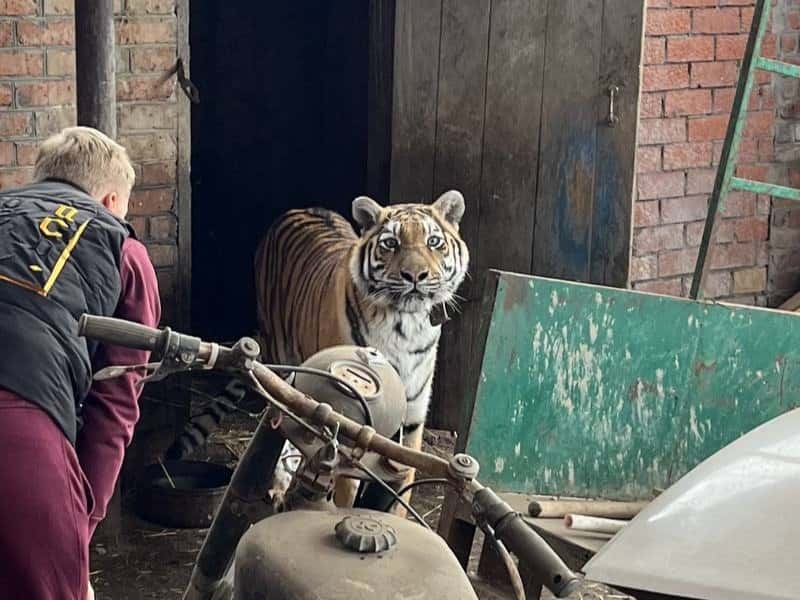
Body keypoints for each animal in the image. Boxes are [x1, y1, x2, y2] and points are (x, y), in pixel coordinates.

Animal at [255, 190, 469, 511]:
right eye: (391, 243)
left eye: (433, 241)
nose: (415, 275)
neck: (407, 327)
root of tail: (303, 207)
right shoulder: (353, 427)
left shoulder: (413, 422)